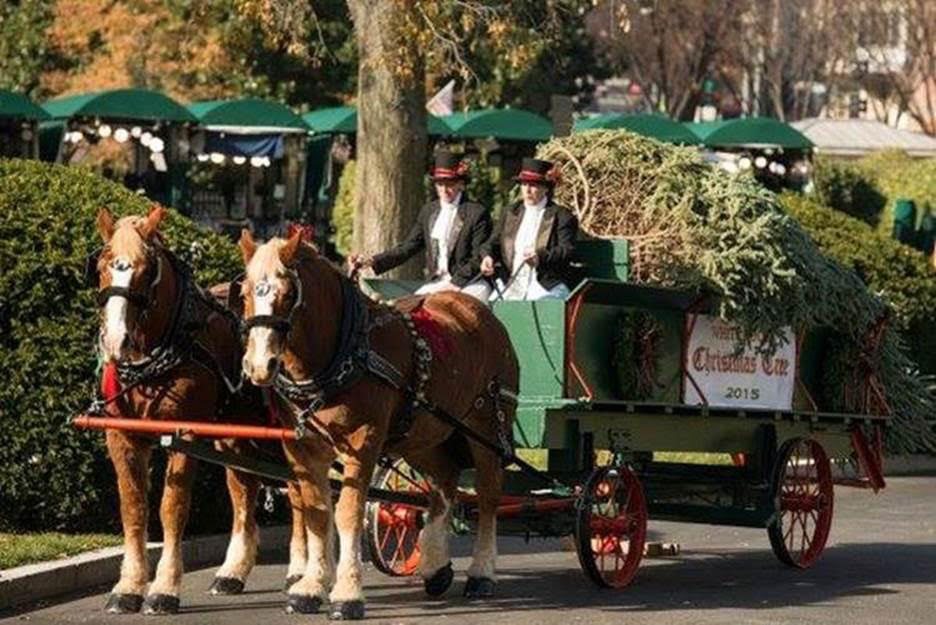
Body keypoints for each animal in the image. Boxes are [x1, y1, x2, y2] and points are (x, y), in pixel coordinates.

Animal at [91, 206, 306, 616]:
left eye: (146, 269)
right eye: (102, 264)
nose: (115, 340)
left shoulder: (185, 434)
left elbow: (171, 508)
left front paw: (164, 588)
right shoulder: (121, 435)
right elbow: (134, 507)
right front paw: (129, 586)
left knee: (302, 492)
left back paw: (301, 570)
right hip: (234, 435)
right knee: (245, 490)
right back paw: (233, 570)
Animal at [238, 230, 520, 620]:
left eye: (289, 293)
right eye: (245, 293)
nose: (258, 365)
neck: (342, 354)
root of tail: (479, 312)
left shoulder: (364, 440)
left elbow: (348, 512)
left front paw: (347, 593)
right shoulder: (303, 447)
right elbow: (317, 512)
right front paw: (310, 587)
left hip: (487, 427)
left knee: (489, 494)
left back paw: (481, 573)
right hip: (424, 434)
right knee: (443, 483)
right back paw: (434, 565)